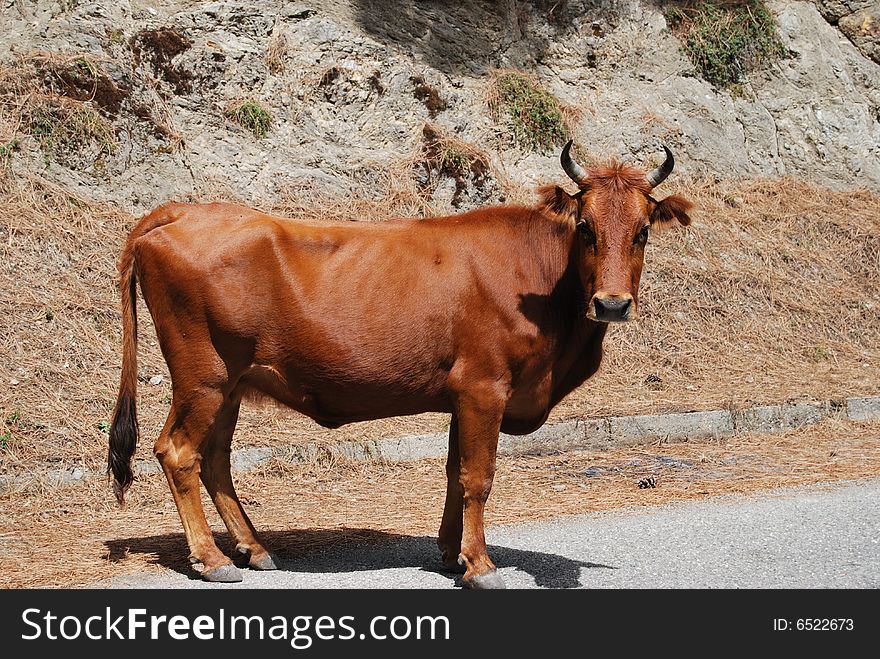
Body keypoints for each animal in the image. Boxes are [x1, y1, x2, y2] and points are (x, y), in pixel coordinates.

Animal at [106, 143, 692, 588]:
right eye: (586, 227)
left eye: (642, 230)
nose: (612, 304)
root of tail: (180, 210)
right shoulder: (484, 387)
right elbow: (478, 476)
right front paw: (481, 565)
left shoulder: (463, 394)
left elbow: (455, 472)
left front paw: (452, 554)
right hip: (202, 375)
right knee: (178, 452)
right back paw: (211, 560)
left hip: (232, 382)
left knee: (215, 460)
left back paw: (254, 548)